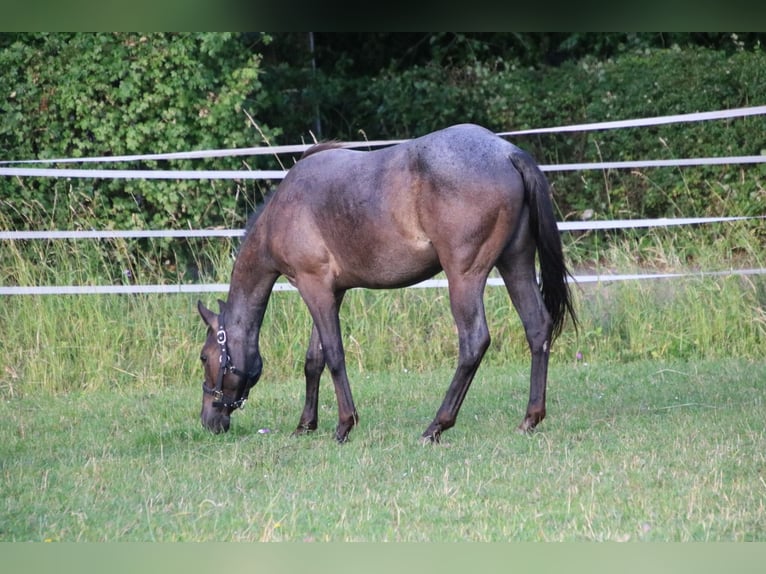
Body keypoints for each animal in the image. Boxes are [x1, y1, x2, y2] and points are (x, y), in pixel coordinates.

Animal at [197, 123, 576, 443]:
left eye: (204, 357)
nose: (209, 420)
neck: (283, 209)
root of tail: (506, 152)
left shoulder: (313, 286)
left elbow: (334, 355)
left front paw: (344, 425)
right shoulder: (330, 292)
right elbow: (313, 360)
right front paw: (305, 425)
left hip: (465, 277)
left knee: (474, 342)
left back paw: (436, 426)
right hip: (516, 263)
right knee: (537, 327)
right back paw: (530, 418)